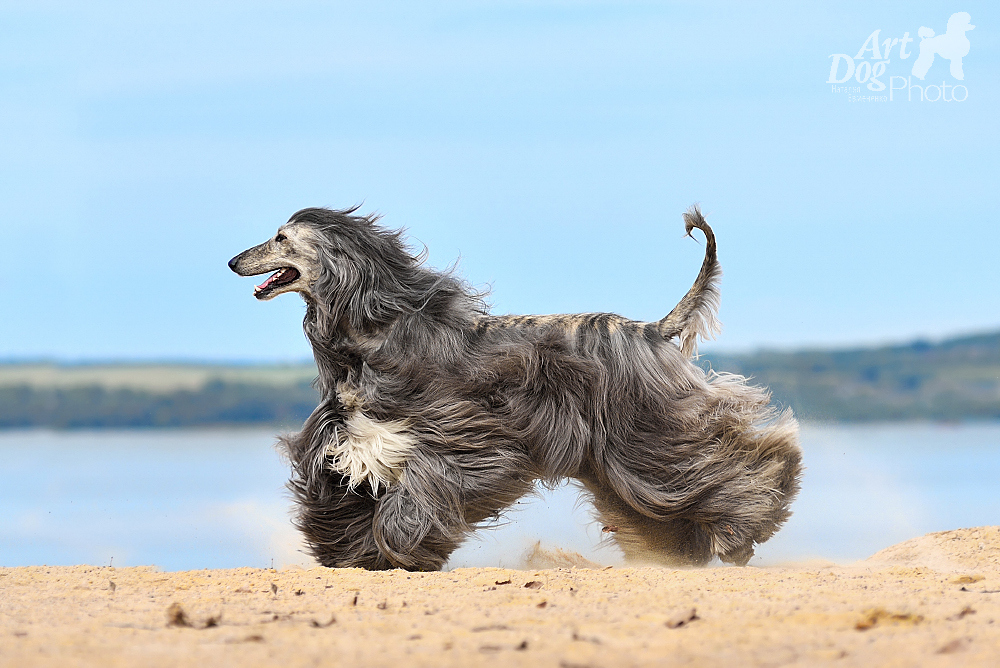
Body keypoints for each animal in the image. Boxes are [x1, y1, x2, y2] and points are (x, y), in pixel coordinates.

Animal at [229, 205, 804, 568]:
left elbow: (420, 495)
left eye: (281, 238)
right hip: (620, 455)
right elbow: (341, 499)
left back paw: (746, 526)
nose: (233, 260)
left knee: (741, 459)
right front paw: (354, 556)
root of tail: (652, 329)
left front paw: (402, 548)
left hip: (649, 428)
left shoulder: (464, 440)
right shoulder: (343, 445)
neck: (374, 337)